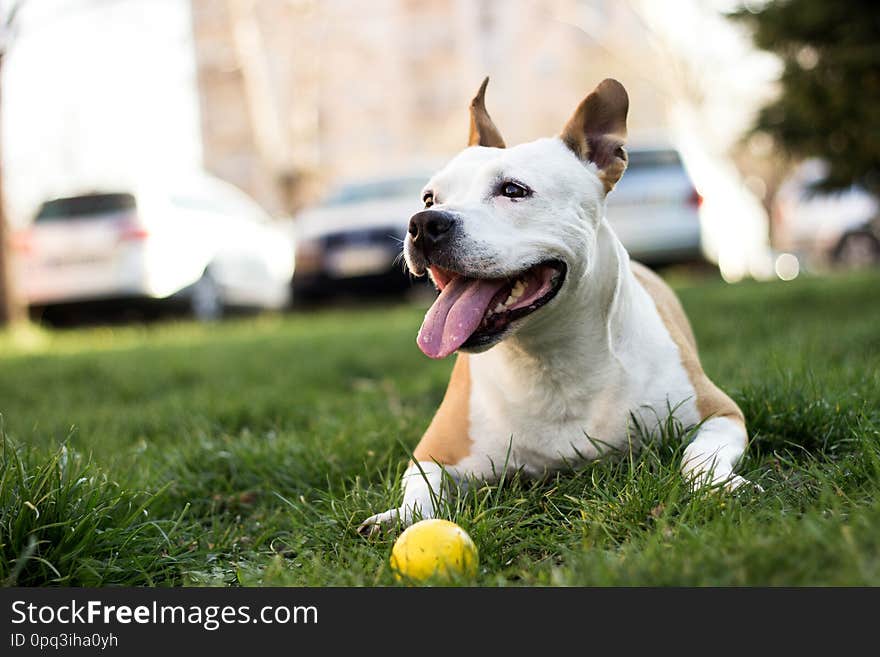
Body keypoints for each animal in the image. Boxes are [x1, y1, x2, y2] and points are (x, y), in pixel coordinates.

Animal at [360, 79, 756, 536]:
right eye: (428, 197)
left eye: (513, 190)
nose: (423, 223)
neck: (547, 360)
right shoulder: (432, 453)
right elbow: (420, 492)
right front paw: (397, 517)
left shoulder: (720, 413)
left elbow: (699, 456)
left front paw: (719, 485)